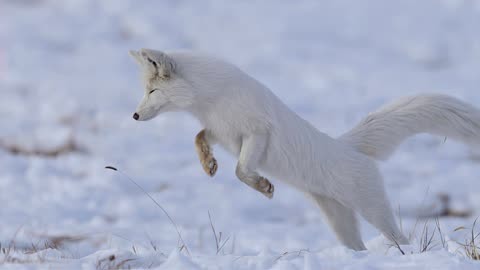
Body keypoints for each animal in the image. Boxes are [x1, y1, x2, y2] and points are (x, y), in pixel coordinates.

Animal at [129, 48, 480, 251]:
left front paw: (264, 186)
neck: (212, 99)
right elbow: (199, 138)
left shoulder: (256, 133)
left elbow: (241, 170)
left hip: (374, 210)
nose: (133, 116)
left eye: (152, 90)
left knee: (400, 238)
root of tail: (348, 146)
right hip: (341, 224)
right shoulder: (222, 132)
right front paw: (209, 165)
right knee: (359, 246)